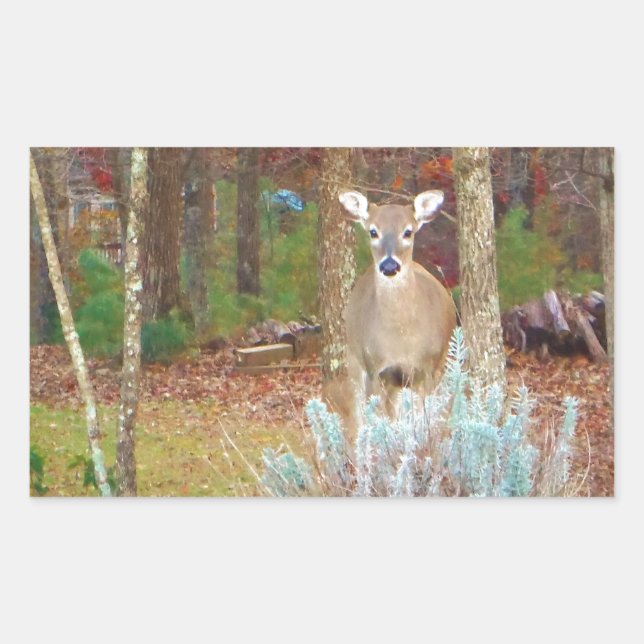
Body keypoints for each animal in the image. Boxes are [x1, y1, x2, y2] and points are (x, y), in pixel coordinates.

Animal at [328, 189, 457, 439]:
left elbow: (424, 425)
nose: (389, 266)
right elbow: (382, 425)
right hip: (355, 361)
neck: (402, 338)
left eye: (408, 231)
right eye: (373, 231)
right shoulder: (377, 369)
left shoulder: (427, 369)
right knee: (357, 416)